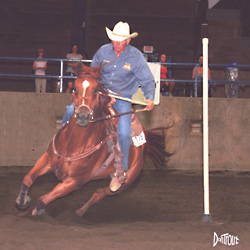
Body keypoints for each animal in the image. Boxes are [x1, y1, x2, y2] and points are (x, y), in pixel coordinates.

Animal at [15, 63, 166, 217]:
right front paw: (22, 201)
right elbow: (27, 179)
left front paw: (36, 209)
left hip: (127, 181)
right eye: (75, 88)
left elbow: (42, 200)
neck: (73, 144)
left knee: (101, 193)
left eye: (96, 89)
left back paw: (82, 210)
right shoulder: (47, 159)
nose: (83, 116)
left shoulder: (74, 181)